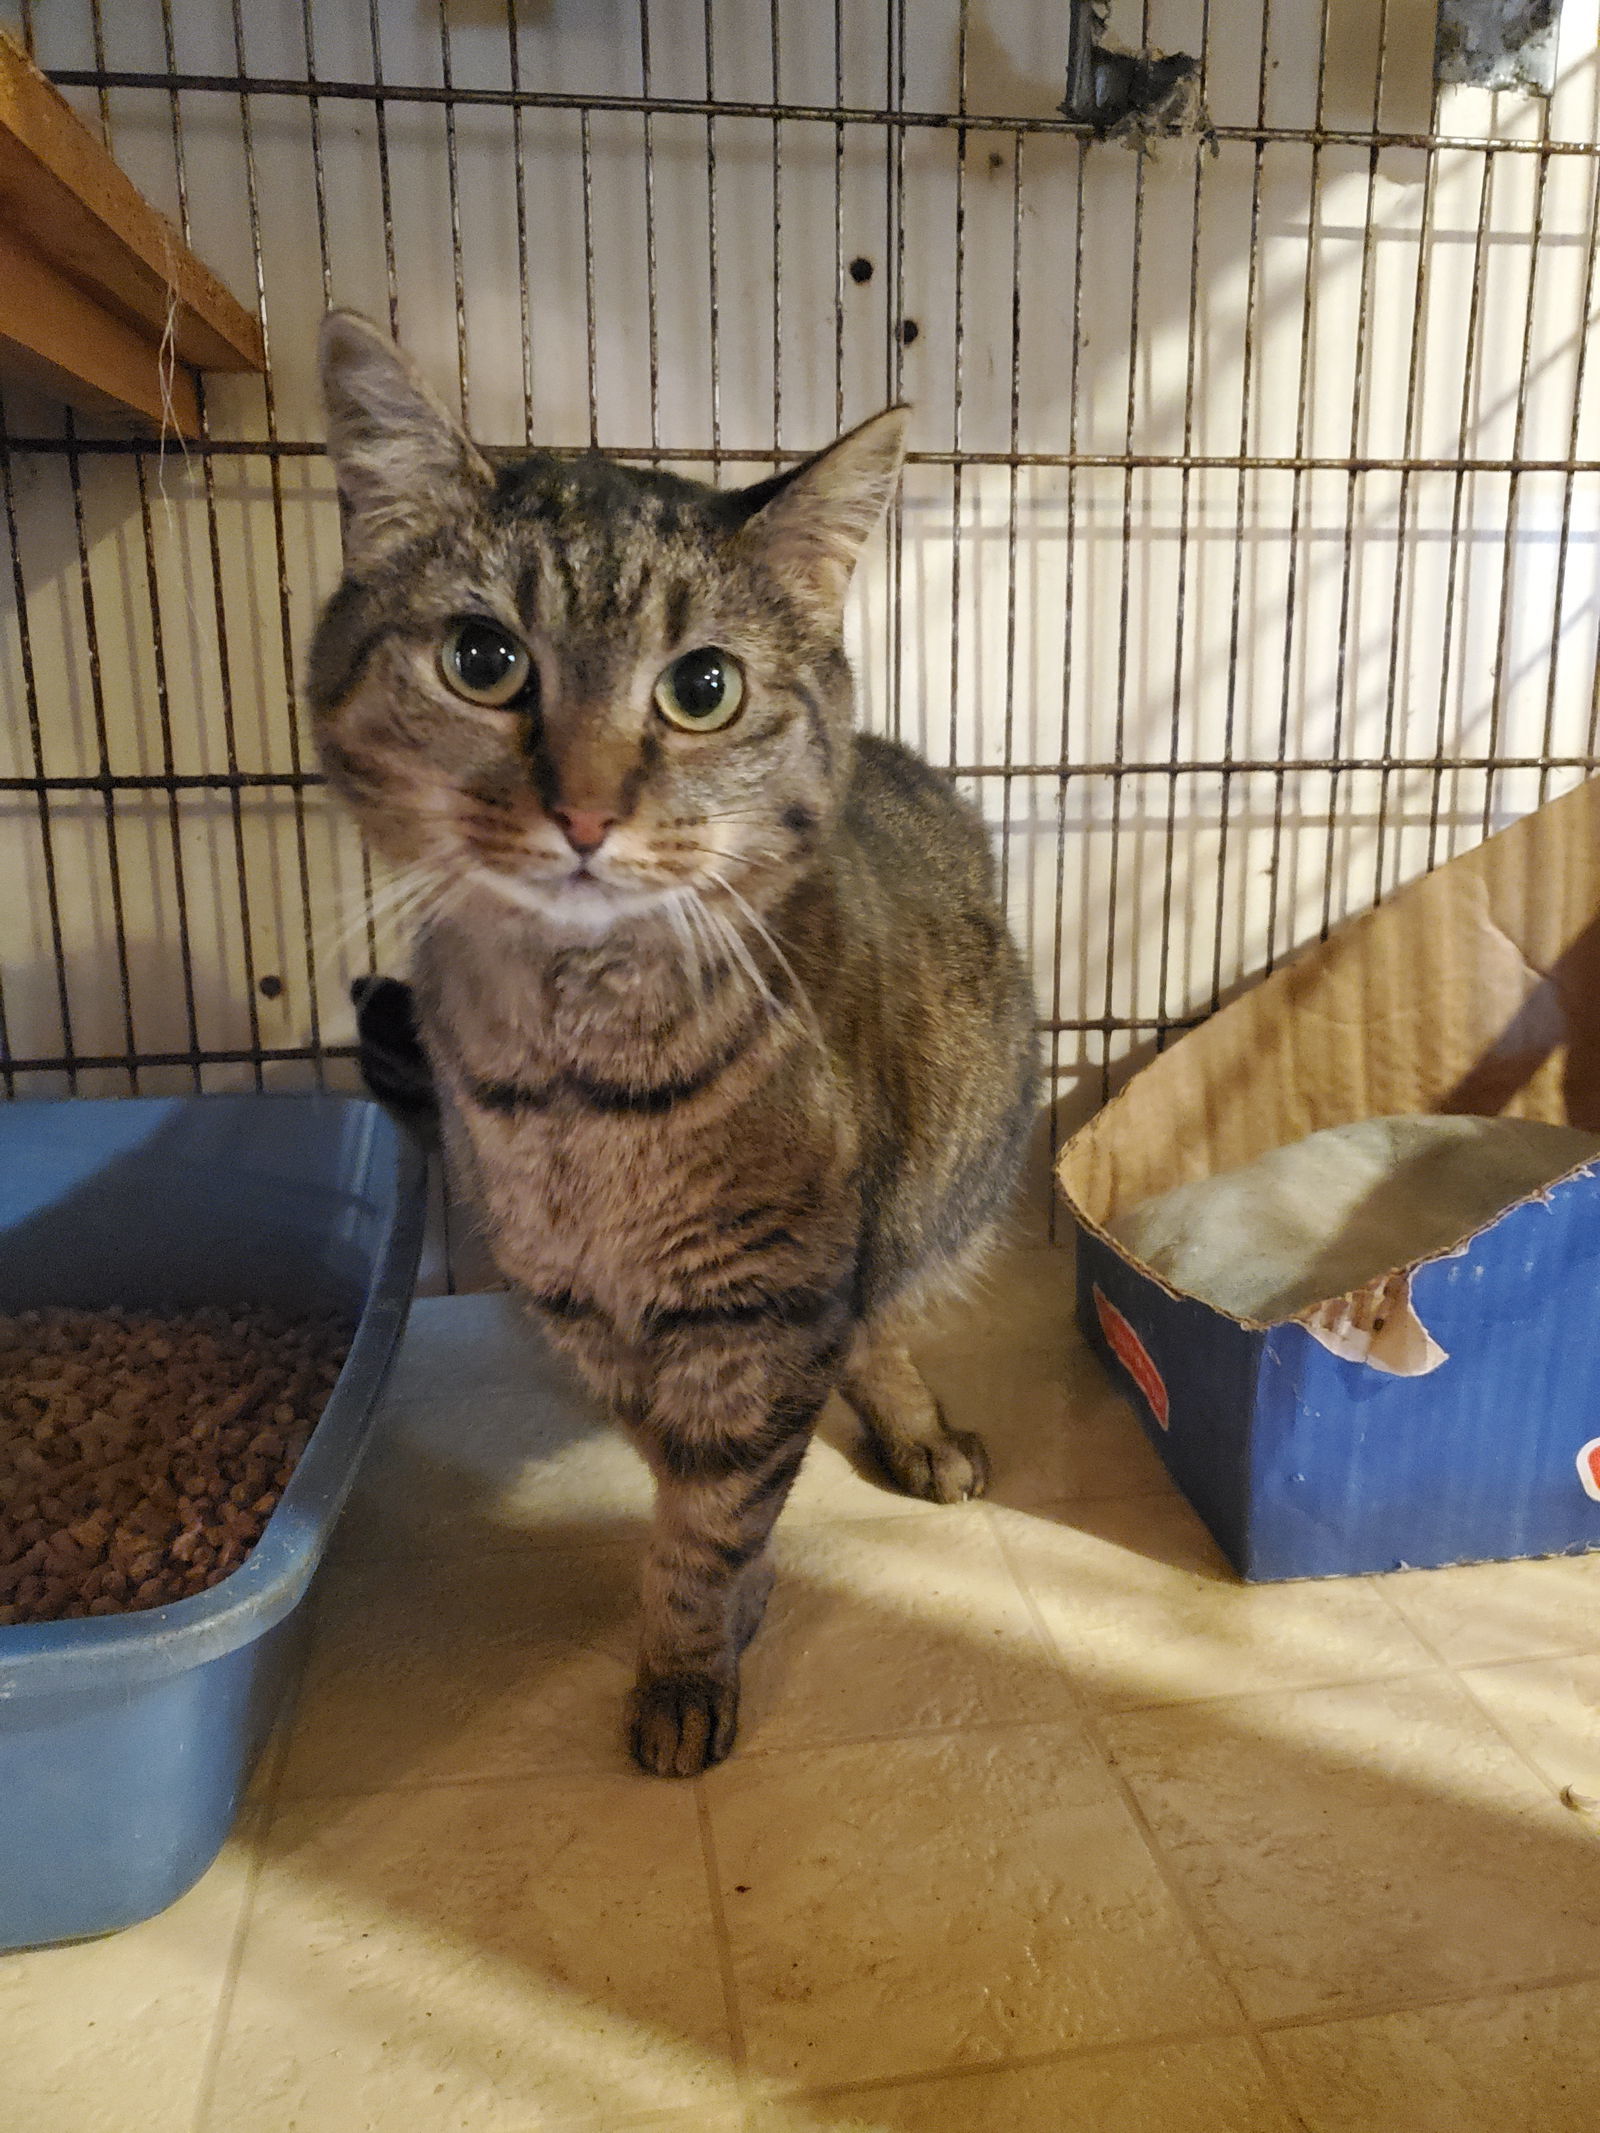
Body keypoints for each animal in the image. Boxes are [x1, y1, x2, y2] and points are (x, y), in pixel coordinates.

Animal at [313, 315, 1041, 1774]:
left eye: (701, 687)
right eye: (482, 660)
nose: (587, 813)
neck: (578, 1070)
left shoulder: (761, 1304)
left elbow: (714, 1517)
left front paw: (691, 1661)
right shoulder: (590, 1306)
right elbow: (676, 1484)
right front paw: (703, 1620)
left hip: (922, 1200)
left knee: (881, 1313)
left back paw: (919, 1433)